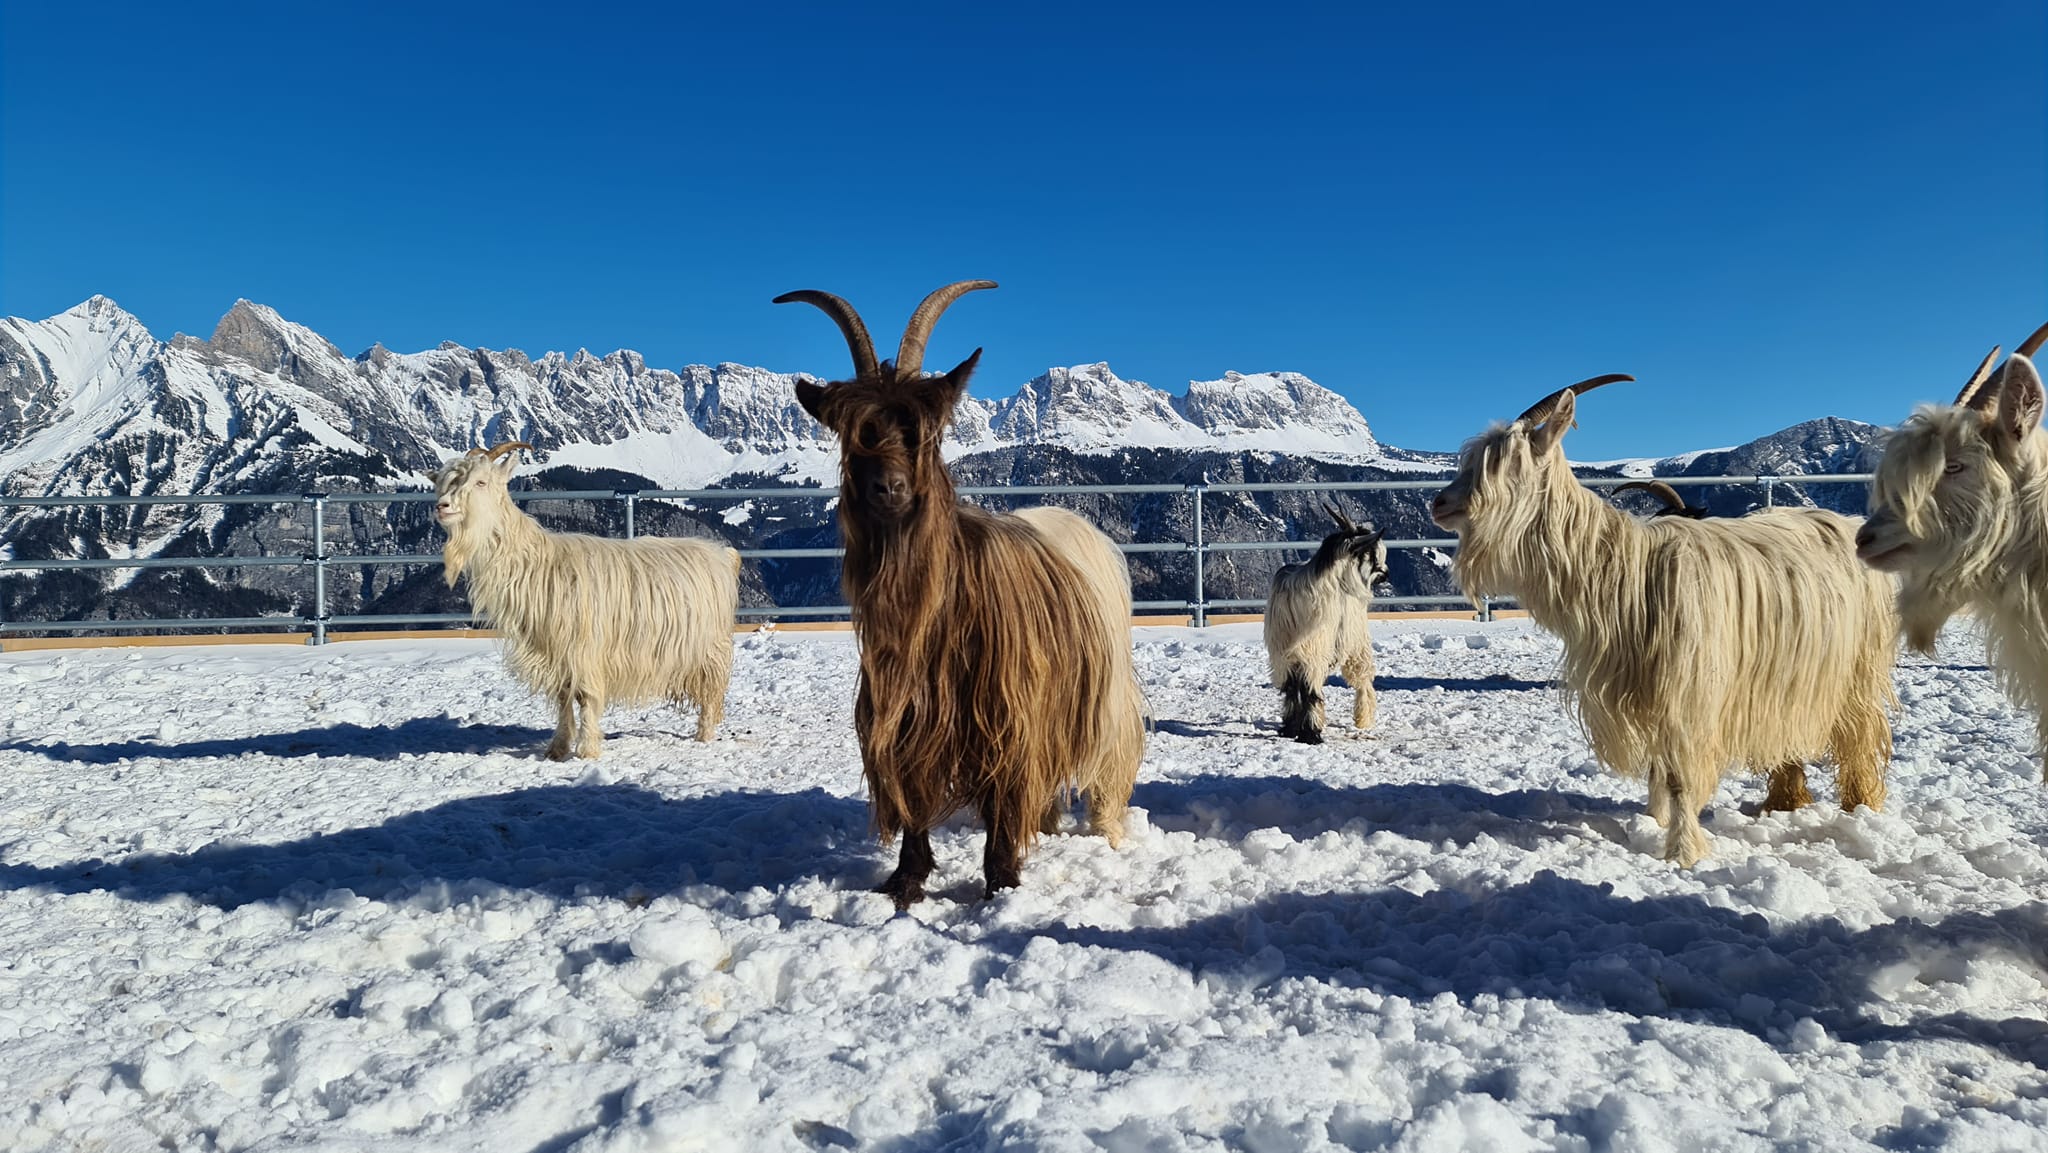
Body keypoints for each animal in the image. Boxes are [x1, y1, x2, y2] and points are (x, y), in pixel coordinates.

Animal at [432, 446, 745, 761]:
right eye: (444, 483)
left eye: (481, 482)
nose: (442, 506)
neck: (539, 565)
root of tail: (722, 554)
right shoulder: (555, 652)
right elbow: (562, 697)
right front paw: (557, 748)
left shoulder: (586, 649)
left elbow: (585, 696)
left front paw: (587, 750)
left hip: (709, 648)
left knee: (711, 691)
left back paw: (704, 735)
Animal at [774, 282, 1146, 913]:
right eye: (857, 436)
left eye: (922, 434)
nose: (890, 488)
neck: (935, 609)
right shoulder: (905, 714)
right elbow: (912, 792)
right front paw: (906, 880)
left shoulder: (1007, 710)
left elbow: (1002, 795)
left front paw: (1002, 882)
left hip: (1103, 688)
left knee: (1107, 757)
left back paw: (1106, 830)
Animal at [1261, 507, 1392, 749]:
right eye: (1371, 553)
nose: (1386, 574)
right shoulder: (1286, 654)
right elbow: (1295, 689)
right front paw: (1296, 729)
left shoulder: (1311, 652)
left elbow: (1307, 690)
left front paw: (1308, 731)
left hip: (1354, 642)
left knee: (1363, 679)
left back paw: (1363, 718)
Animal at [1433, 378, 1892, 868]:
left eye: (1505, 462)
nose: (1438, 502)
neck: (1627, 573)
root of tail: (1848, 523)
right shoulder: (1645, 692)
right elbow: (1658, 769)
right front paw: (1654, 821)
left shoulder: (1687, 693)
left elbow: (1679, 777)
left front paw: (1683, 852)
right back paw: (1783, 803)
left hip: (1856, 668)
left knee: (1860, 731)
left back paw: (1861, 808)